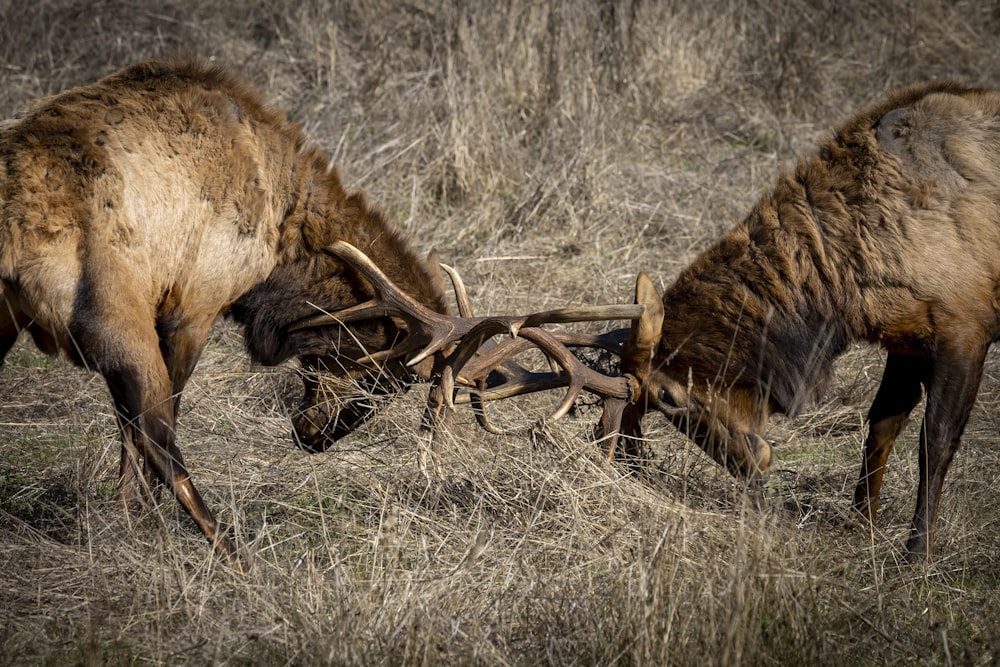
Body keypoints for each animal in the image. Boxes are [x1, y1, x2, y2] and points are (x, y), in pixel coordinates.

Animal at [0, 58, 636, 568]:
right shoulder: (191, 306)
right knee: (161, 440)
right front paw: (139, 522)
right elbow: (146, 433)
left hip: (10, 320)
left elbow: (126, 435)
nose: (313, 437)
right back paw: (235, 557)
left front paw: (129, 521)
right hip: (115, 316)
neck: (282, 243)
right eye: (383, 376)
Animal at [596, 82, 1000, 564]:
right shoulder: (908, 339)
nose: (748, 467)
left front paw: (917, 551)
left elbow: (935, 442)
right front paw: (858, 524)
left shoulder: (966, 327)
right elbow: (880, 428)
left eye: (666, 396)